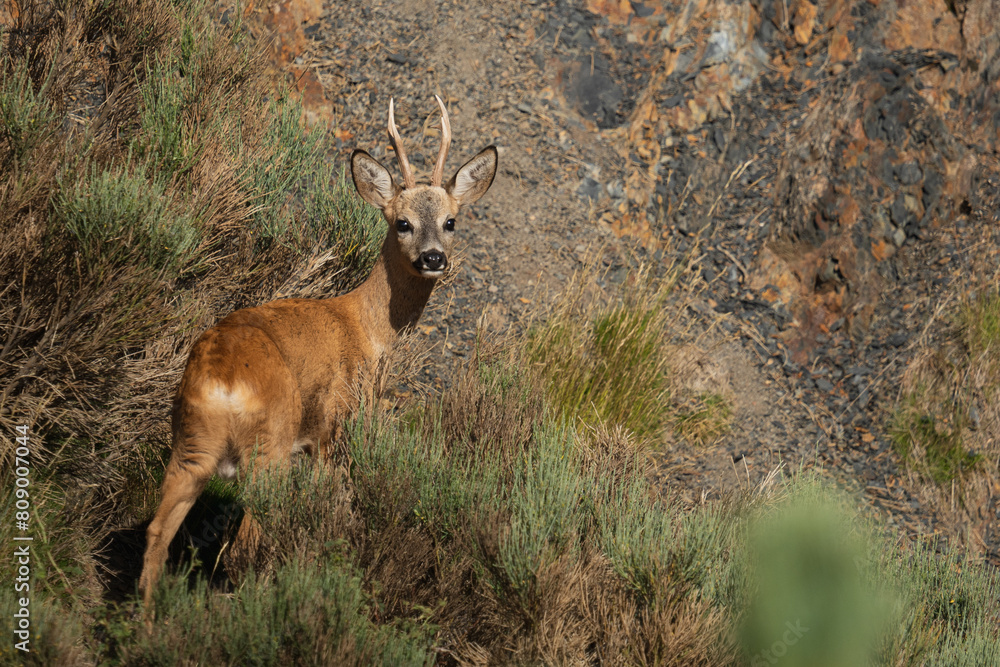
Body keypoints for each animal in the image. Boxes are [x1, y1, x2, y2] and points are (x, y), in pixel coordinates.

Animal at [139, 96, 498, 612]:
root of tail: (221, 383)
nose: (433, 258)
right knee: (244, 545)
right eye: (402, 223)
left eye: (451, 221)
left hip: (189, 446)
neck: (369, 330)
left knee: (156, 536)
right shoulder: (334, 429)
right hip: (269, 447)